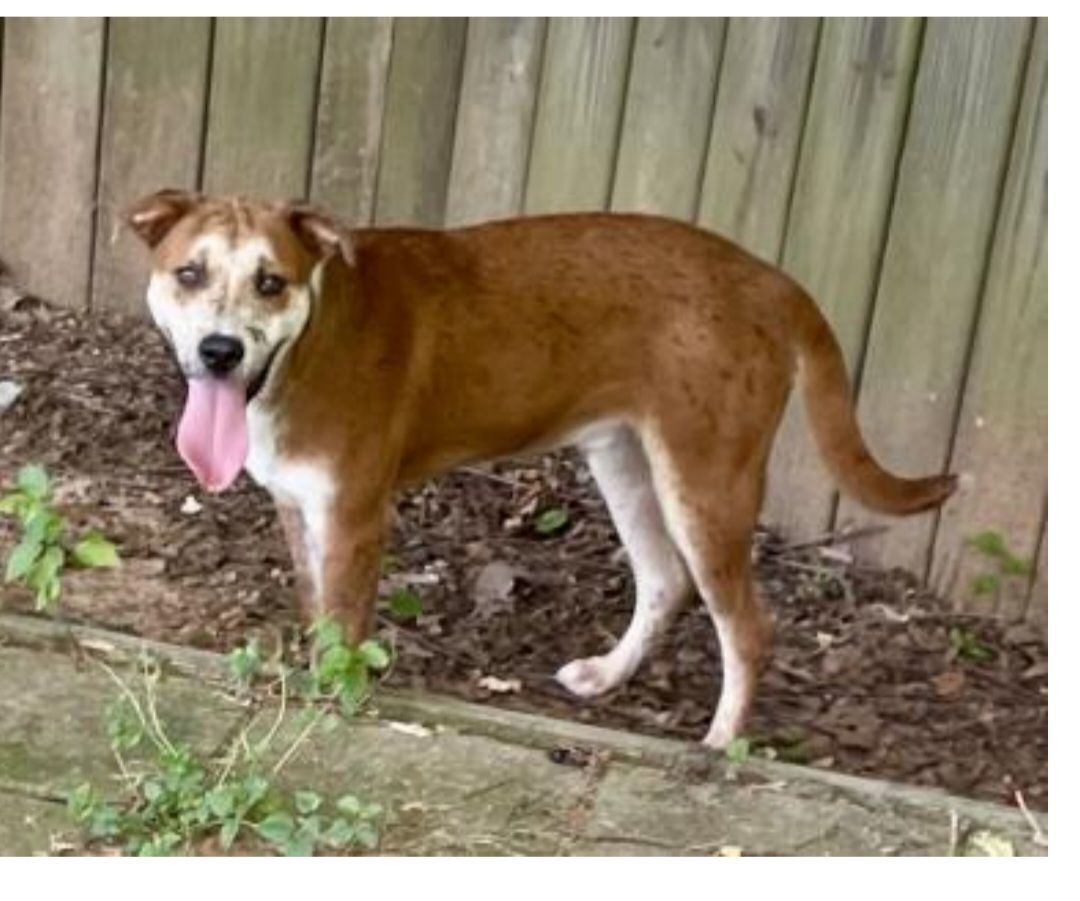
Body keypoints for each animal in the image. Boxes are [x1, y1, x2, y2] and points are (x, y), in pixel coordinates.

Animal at [126, 191, 954, 751]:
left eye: (271, 281)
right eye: (189, 272)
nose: (220, 351)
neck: (307, 344)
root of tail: (771, 278)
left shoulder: (356, 514)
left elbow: (345, 629)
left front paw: (334, 701)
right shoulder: (300, 509)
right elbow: (314, 613)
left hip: (706, 480)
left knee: (748, 624)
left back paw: (719, 745)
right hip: (625, 460)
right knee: (665, 580)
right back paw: (608, 676)